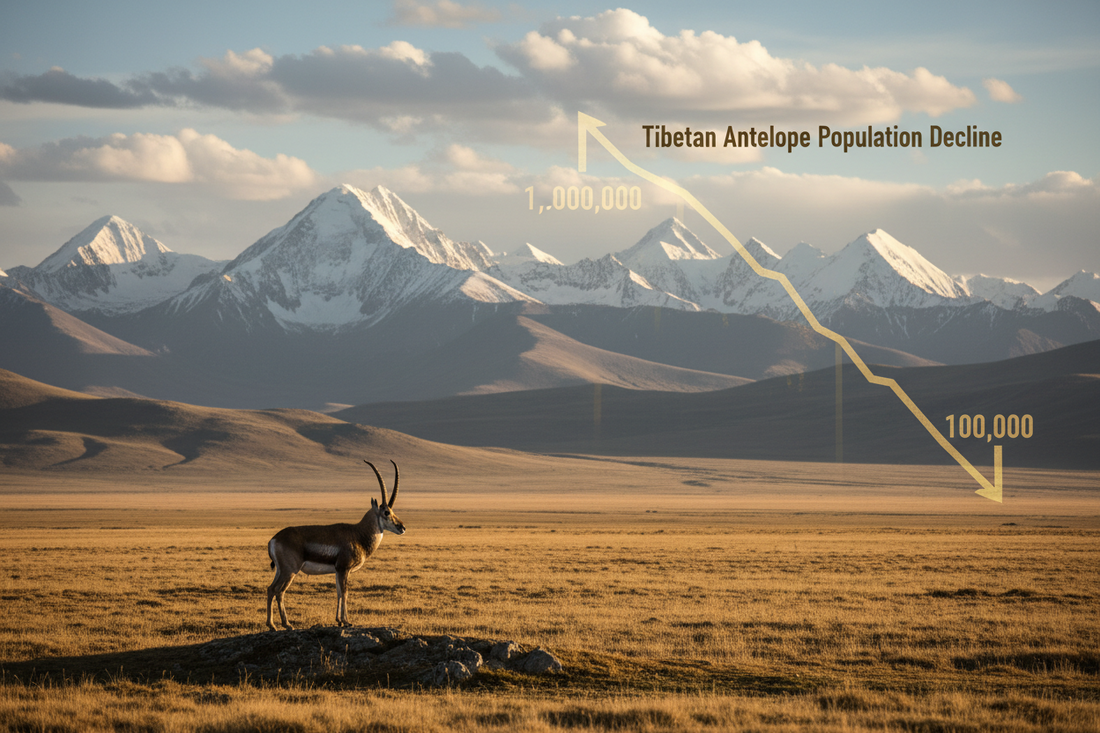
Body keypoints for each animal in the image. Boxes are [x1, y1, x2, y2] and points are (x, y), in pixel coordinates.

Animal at [266, 459, 406, 631]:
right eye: (386, 512)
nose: (402, 527)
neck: (358, 534)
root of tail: (274, 539)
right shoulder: (344, 569)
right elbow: (345, 592)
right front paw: (346, 621)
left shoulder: (338, 571)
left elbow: (339, 593)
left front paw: (338, 620)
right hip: (290, 571)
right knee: (278, 590)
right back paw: (282, 625)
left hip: (280, 571)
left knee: (271, 589)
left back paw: (276, 624)